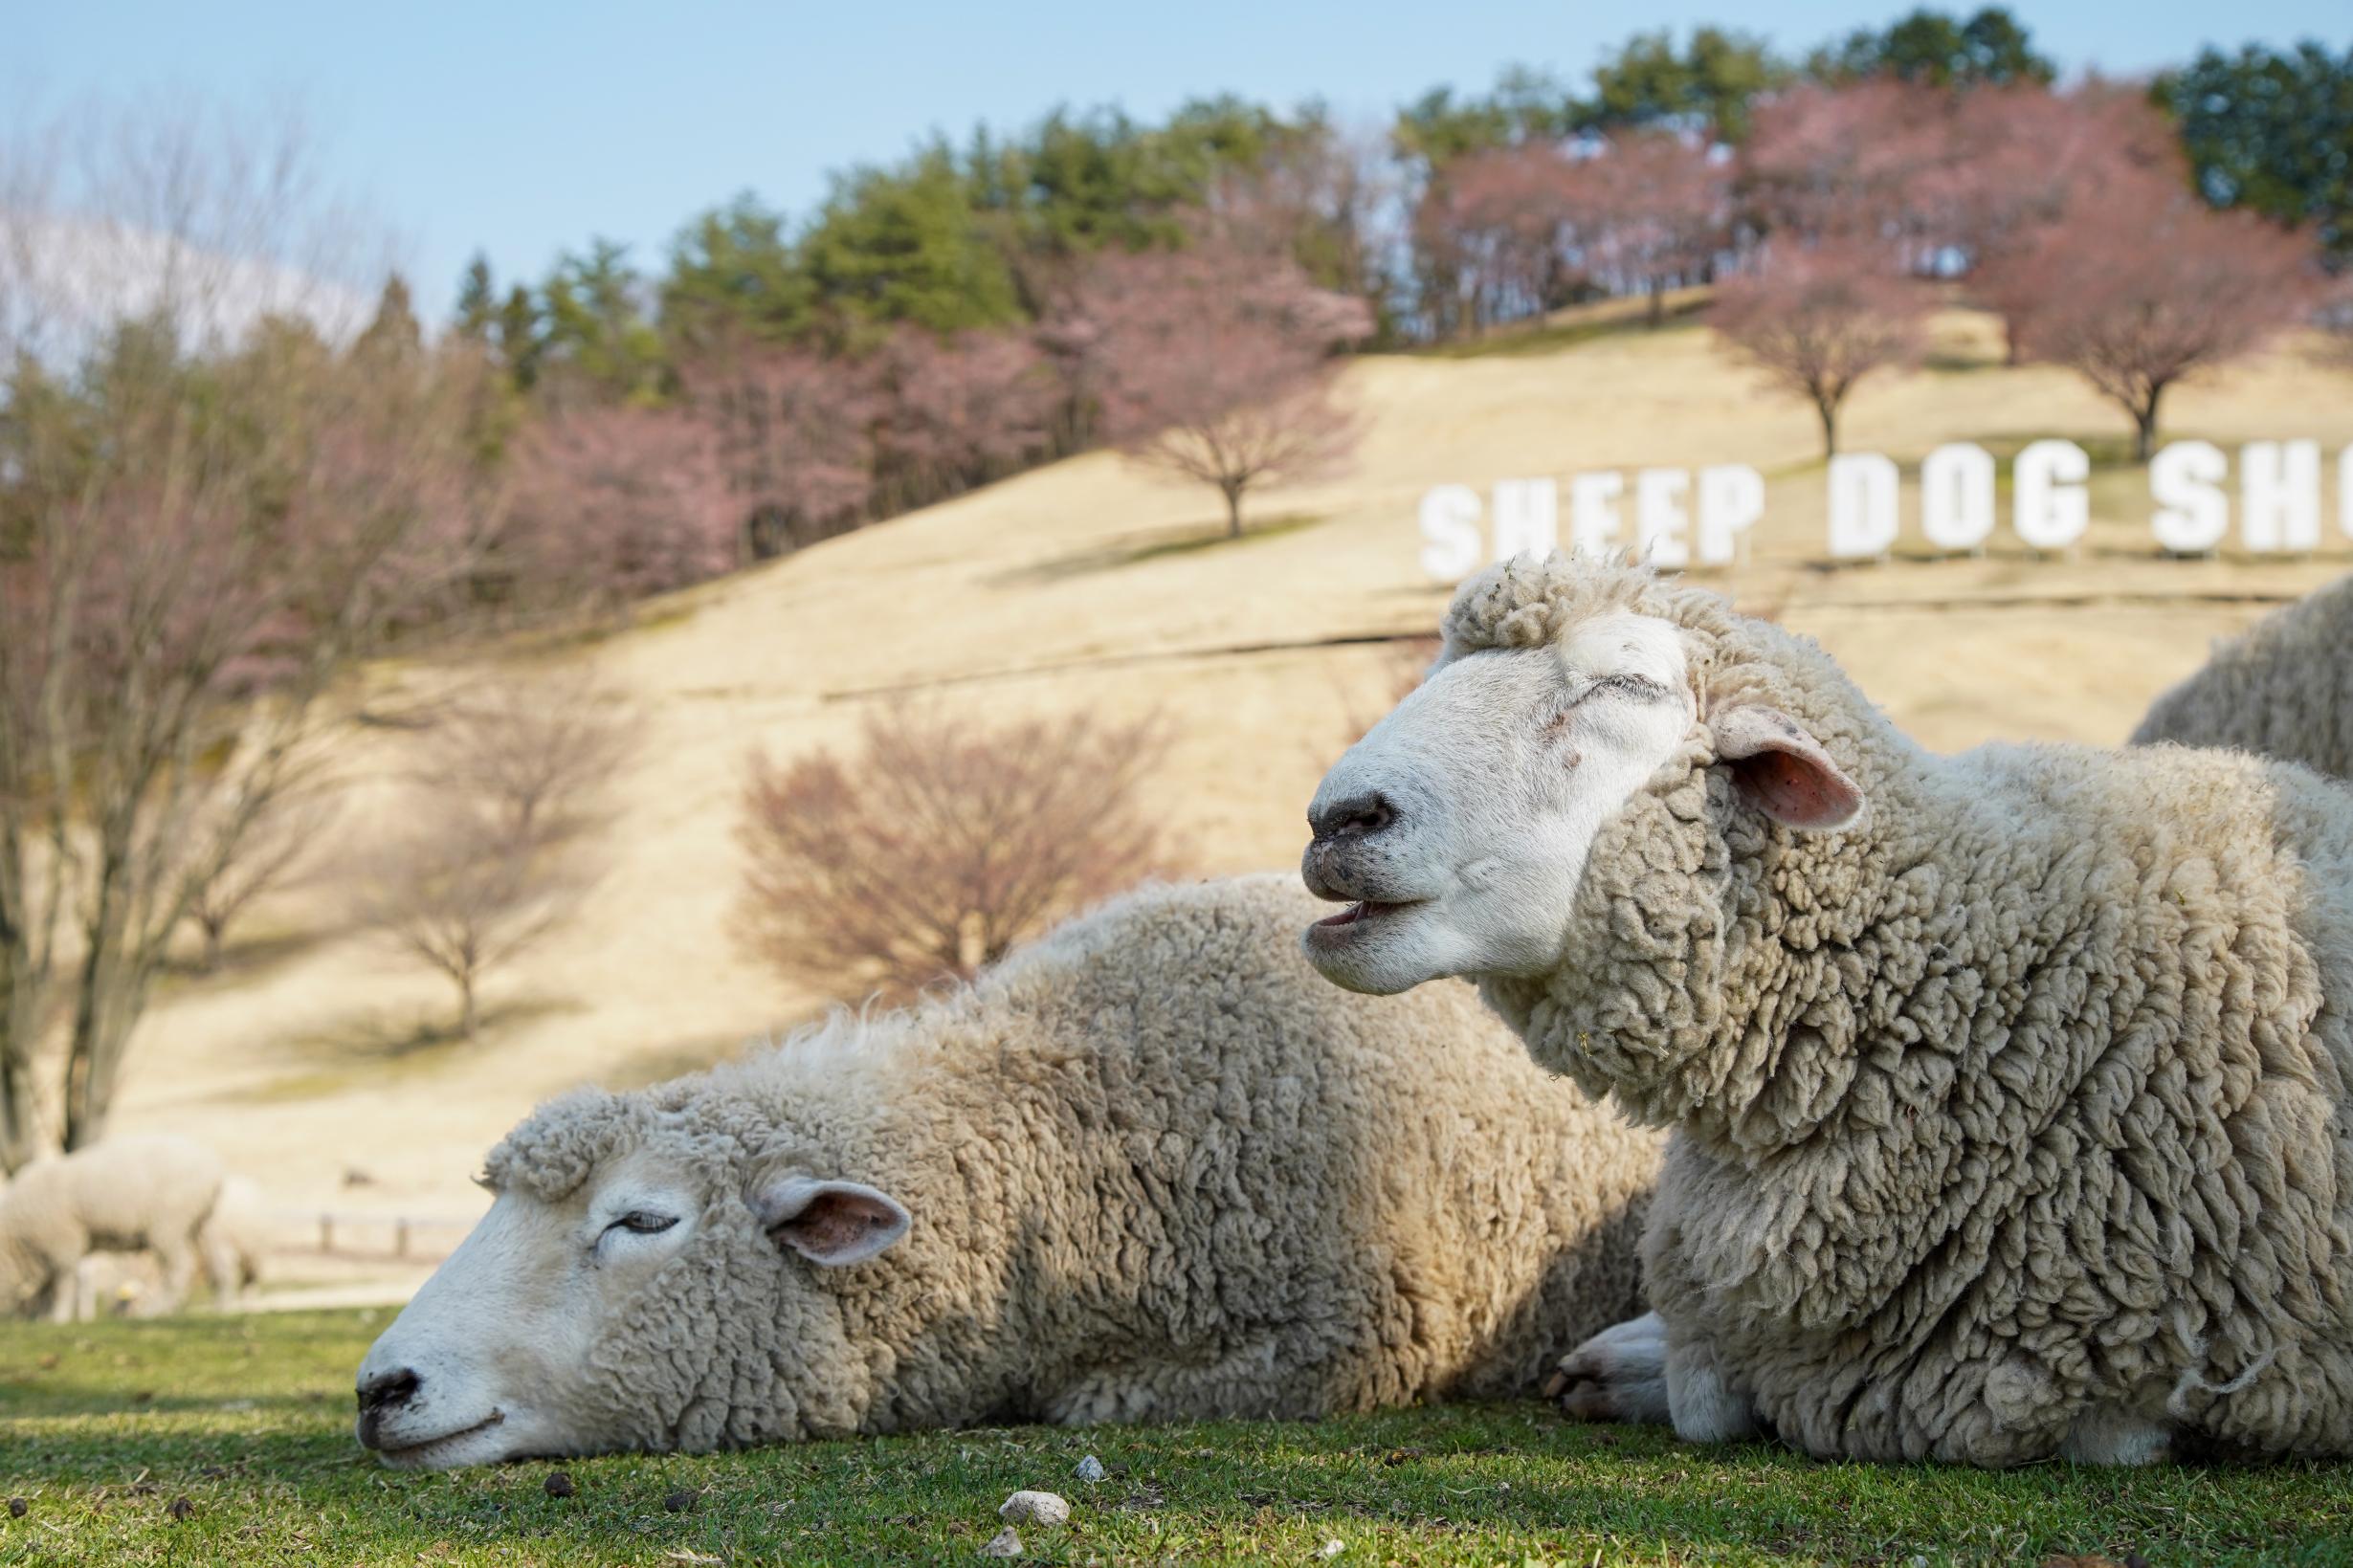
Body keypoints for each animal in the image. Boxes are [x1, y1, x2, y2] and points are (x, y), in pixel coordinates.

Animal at [1, 1133, 234, 1316]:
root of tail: (214, 1169)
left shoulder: (63, 1242)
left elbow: (63, 1285)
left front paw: (57, 1317)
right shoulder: (53, 1250)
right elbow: (49, 1287)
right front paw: (43, 1316)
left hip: (169, 1224)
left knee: (180, 1268)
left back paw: (156, 1310)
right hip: (204, 1223)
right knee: (219, 1266)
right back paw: (218, 1308)